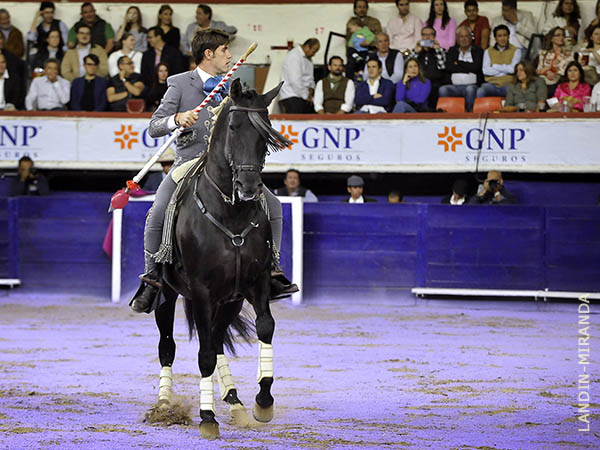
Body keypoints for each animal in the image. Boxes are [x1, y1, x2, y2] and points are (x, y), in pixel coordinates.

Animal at [151, 79, 290, 438]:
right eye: (233, 127)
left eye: (266, 133)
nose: (249, 187)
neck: (232, 214)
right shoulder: (201, 291)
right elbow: (202, 356)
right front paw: (207, 417)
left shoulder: (255, 283)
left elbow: (265, 328)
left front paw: (263, 402)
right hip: (167, 294)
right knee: (168, 345)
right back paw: (164, 404)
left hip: (228, 301)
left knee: (214, 340)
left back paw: (234, 400)